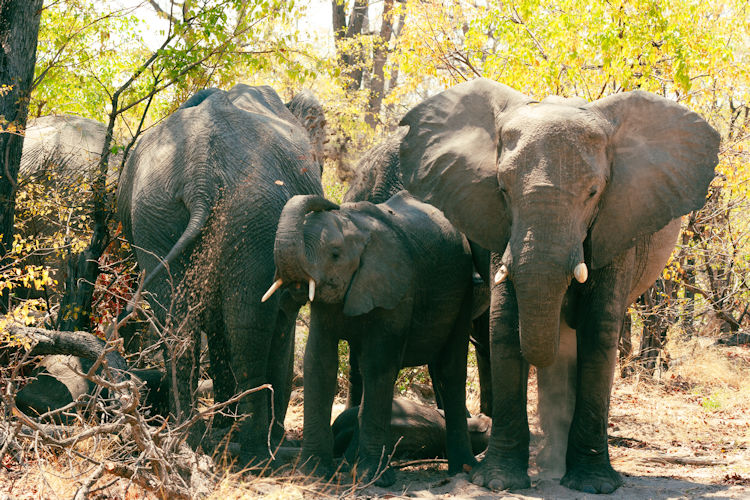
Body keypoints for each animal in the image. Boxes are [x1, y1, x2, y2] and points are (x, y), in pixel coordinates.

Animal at [116, 84, 325, 460]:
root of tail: (200, 177)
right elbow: (280, 320)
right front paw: (270, 435)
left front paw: (223, 427)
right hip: (255, 217)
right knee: (248, 328)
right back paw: (257, 449)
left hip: (155, 214)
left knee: (179, 326)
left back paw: (189, 438)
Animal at [264, 191, 477, 485]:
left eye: (335, 254)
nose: (331, 203)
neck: (356, 227)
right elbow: (319, 362)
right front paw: (313, 476)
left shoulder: (396, 288)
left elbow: (378, 365)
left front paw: (370, 477)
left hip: (463, 290)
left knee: (450, 370)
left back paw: (462, 470)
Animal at [397, 78, 720, 493]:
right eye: (502, 190)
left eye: (594, 192)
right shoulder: (499, 227)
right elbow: (504, 326)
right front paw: (498, 482)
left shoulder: (618, 222)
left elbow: (599, 331)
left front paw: (593, 485)